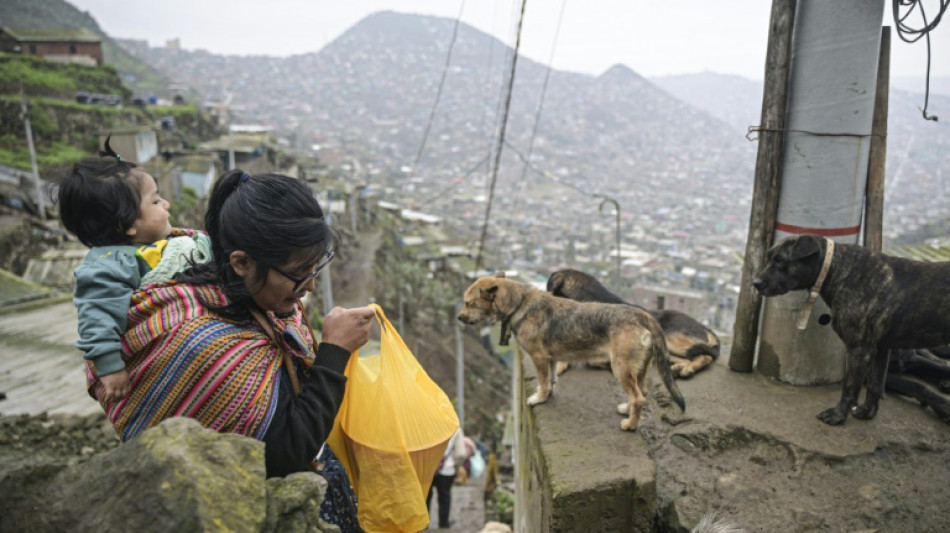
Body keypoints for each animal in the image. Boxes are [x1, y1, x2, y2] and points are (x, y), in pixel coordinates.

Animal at [460, 272, 688, 430]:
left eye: (469, 303)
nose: (459, 317)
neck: (518, 302)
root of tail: (642, 315)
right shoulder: (550, 358)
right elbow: (550, 379)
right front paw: (548, 393)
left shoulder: (539, 358)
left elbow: (542, 380)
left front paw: (539, 398)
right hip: (638, 368)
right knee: (642, 393)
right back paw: (628, 410)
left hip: (620, 368)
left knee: (639, 397)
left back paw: (631, 425)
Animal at [760, 235, 950, 426]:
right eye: (769, 258)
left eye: (780, 260)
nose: (756, 282)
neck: (836, 269)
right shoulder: (880, 350)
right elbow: (875, 385)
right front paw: (868, 412)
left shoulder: (858, 350)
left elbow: (850, 388)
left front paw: (838, 415)